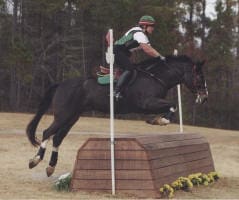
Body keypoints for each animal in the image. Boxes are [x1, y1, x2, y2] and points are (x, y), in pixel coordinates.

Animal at [26, 54, 208, 177]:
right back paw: (35, 160)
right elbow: (173, 105)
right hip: (63, 115)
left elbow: (172, 106)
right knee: (47, 132)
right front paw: (160, 120)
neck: (157, 77)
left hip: (72, 117)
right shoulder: (147, 103)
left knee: (57, 138)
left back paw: (51, 167)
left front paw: (156, 120)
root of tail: (61, 84)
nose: (205, 97)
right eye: (199, 76)